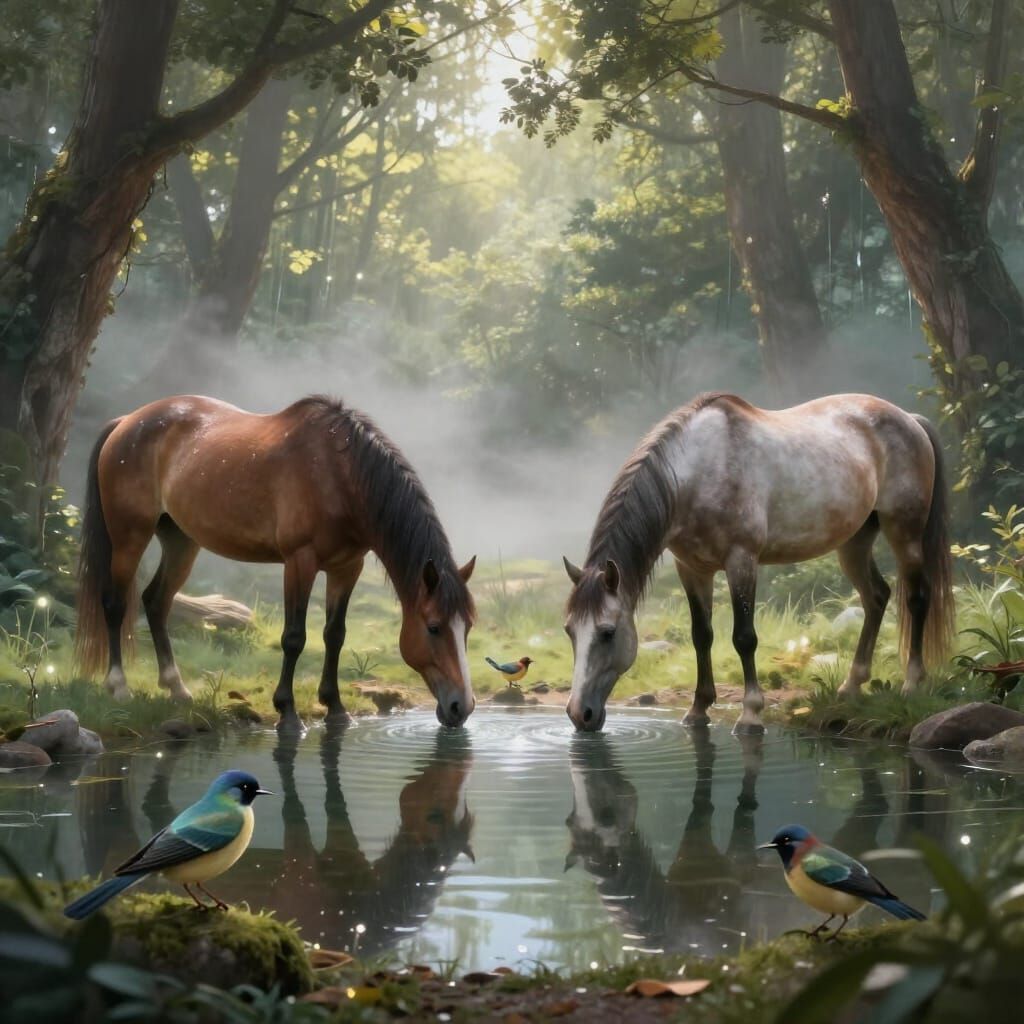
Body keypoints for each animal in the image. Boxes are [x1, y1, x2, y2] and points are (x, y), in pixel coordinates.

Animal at [75, 394, 477, 728]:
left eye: (468, 627)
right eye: (434, 627)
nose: (462, 707)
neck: (338, 475)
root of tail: (127, 422)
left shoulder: (347, 567)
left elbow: (335, 634)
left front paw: (335, 707)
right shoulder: (299, 562)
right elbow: (294, 637)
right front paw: (287, 711)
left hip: (181, 541)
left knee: (156, 602)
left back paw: (177, 688)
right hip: (129, 537)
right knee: (114, 603)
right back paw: (118, 686)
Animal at [562, 392, 953, 733]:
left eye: (607, 633)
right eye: (569, 631)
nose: (580, 714)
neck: (697, 472)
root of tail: (909, 420)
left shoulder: (742, 561)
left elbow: (744, 637)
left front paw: (750, 714)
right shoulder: (692, 569)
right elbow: (701, 636)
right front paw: (698, 709)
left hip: (904, 532)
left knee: (916, 598)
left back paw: (912, 684)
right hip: (854, 542)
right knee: (876, 598)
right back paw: (851, 686)